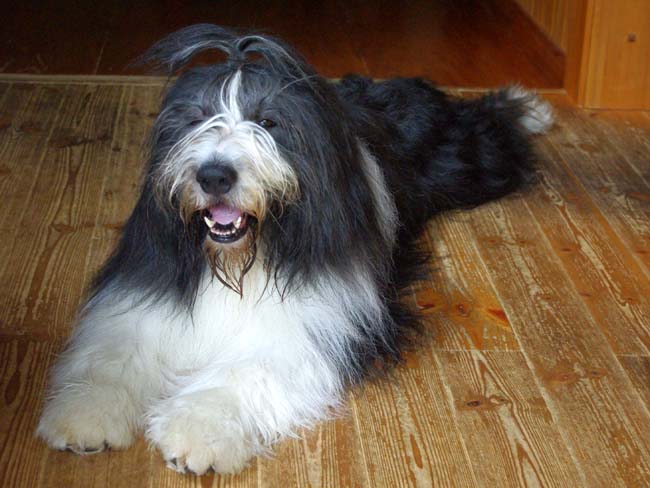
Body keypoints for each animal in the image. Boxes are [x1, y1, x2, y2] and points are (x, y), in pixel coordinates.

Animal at [37, 24, 552, 475]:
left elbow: (245, 370)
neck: (244, 256)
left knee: (490, 125)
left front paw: (196, 430)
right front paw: (87, 412)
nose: (214, 174)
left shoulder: (320, 318)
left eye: (268, 122)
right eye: (197, 119)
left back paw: (526, 104)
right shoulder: (146, 286)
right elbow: (116, 349)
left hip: (472, 164)